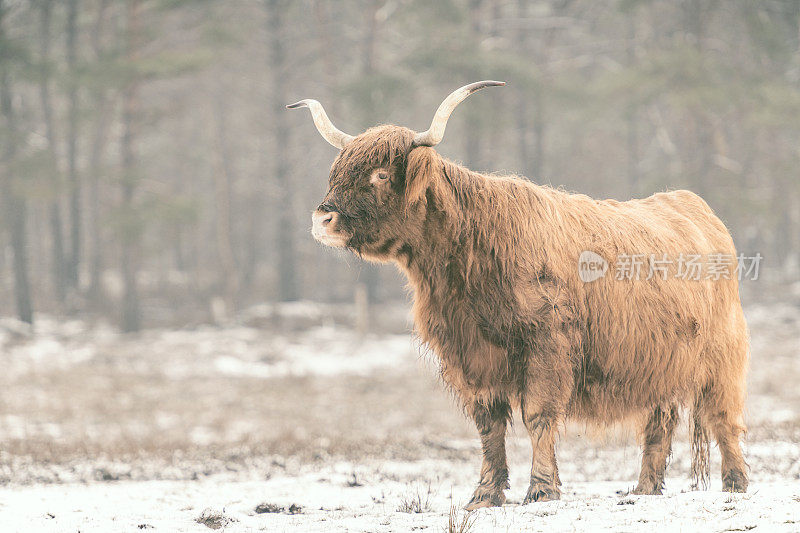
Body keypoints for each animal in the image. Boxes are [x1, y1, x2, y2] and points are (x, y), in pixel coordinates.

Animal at [290, 81, 752, 510]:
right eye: (337, 173)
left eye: (381, 175)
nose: (322, 219)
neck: (468, 259)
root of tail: (693, 205)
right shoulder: (471, 354)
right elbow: (488, 425)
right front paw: (484, 494)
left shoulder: (547, 345)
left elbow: (538, 416)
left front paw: (543, 489)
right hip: (660, 360)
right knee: (659, 422)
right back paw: (644, 489)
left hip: (720, 356)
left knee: (723, 417)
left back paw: (735, 483)